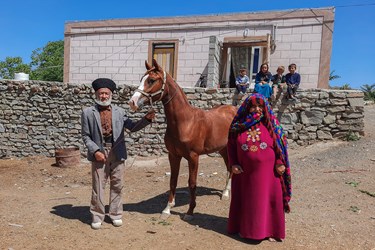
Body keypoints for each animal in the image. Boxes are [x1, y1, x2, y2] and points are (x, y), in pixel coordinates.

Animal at [129, 59, 238, 219]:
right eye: (141, 79)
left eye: (151, 80)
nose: (132, 102)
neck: (186, 122)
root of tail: (234, 109)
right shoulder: (173, 155)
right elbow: (172, 181)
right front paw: (167, 209)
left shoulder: (193, 157)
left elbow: (192, 183)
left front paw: (190, 211)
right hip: (223, 149)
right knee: (229, 167)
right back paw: (225, 192)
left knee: (231, 168)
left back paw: (225, 194)